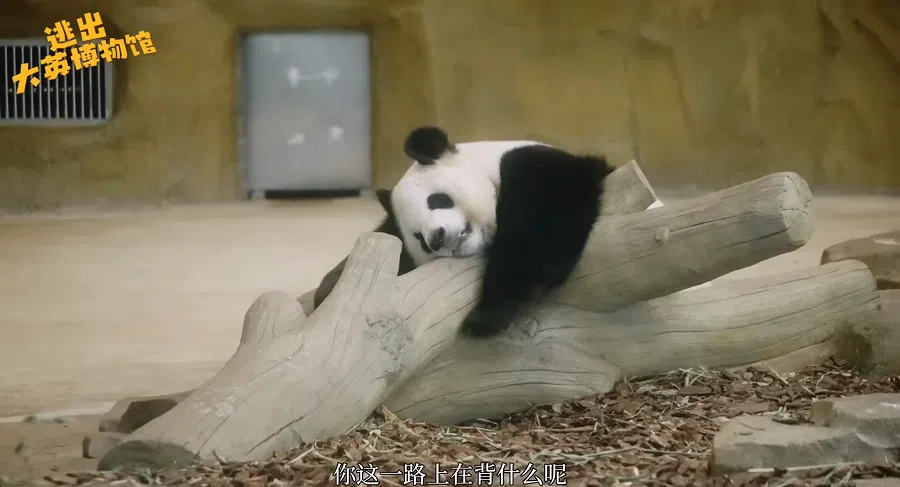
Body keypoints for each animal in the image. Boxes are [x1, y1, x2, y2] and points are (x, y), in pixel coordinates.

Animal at [386, 125, 618, 338]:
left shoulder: (537, 167)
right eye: (419, 239)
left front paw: (487, 315)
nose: (437, 239)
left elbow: (539, 226)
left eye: (436, 200)